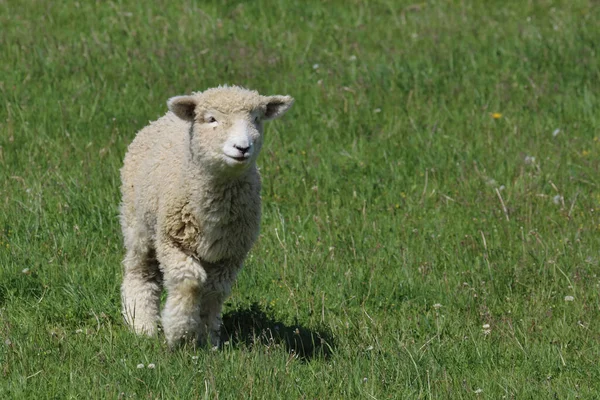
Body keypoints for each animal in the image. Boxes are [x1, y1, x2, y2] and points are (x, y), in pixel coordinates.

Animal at [119, 85, 292, 346]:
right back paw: (141, 324)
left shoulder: (230, 253)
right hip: (138, 224)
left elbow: (213, 291)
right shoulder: (172, 241)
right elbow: (189, 282)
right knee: (141, 272)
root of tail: (164, 117)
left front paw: (206, 336)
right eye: (211, 119)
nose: (242, 148)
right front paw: (179, 332)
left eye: (256, 118)